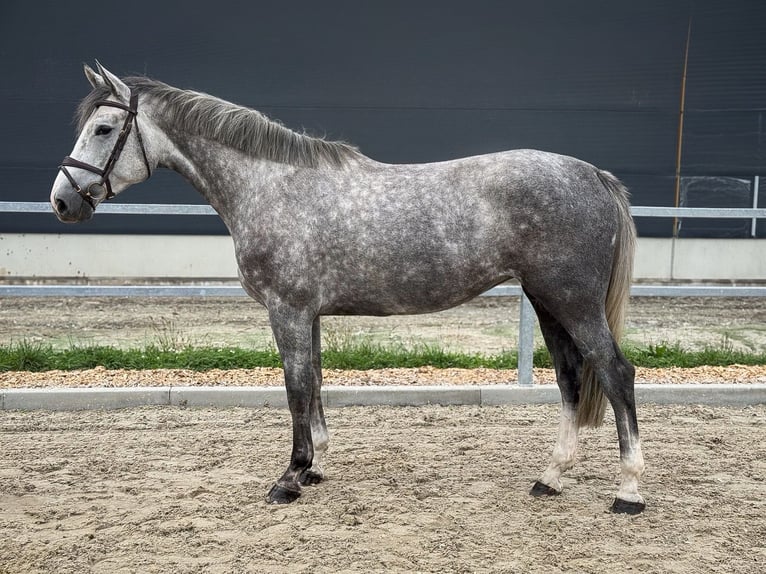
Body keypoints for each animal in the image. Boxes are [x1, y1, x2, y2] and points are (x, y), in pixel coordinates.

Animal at [51, 62, 644, 512]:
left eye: (104, 129)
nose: (62, 200)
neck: (271, 185)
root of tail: (593, 175)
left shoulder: (287, 310)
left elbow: (295, 388)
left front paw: (290, 478)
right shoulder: (307, 314)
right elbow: (314, 382)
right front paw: (314, 466)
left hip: (572, 301)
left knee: (615, 373)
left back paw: (629, 491)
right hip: (548, 301)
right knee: (571, 378)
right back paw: (550, 477)